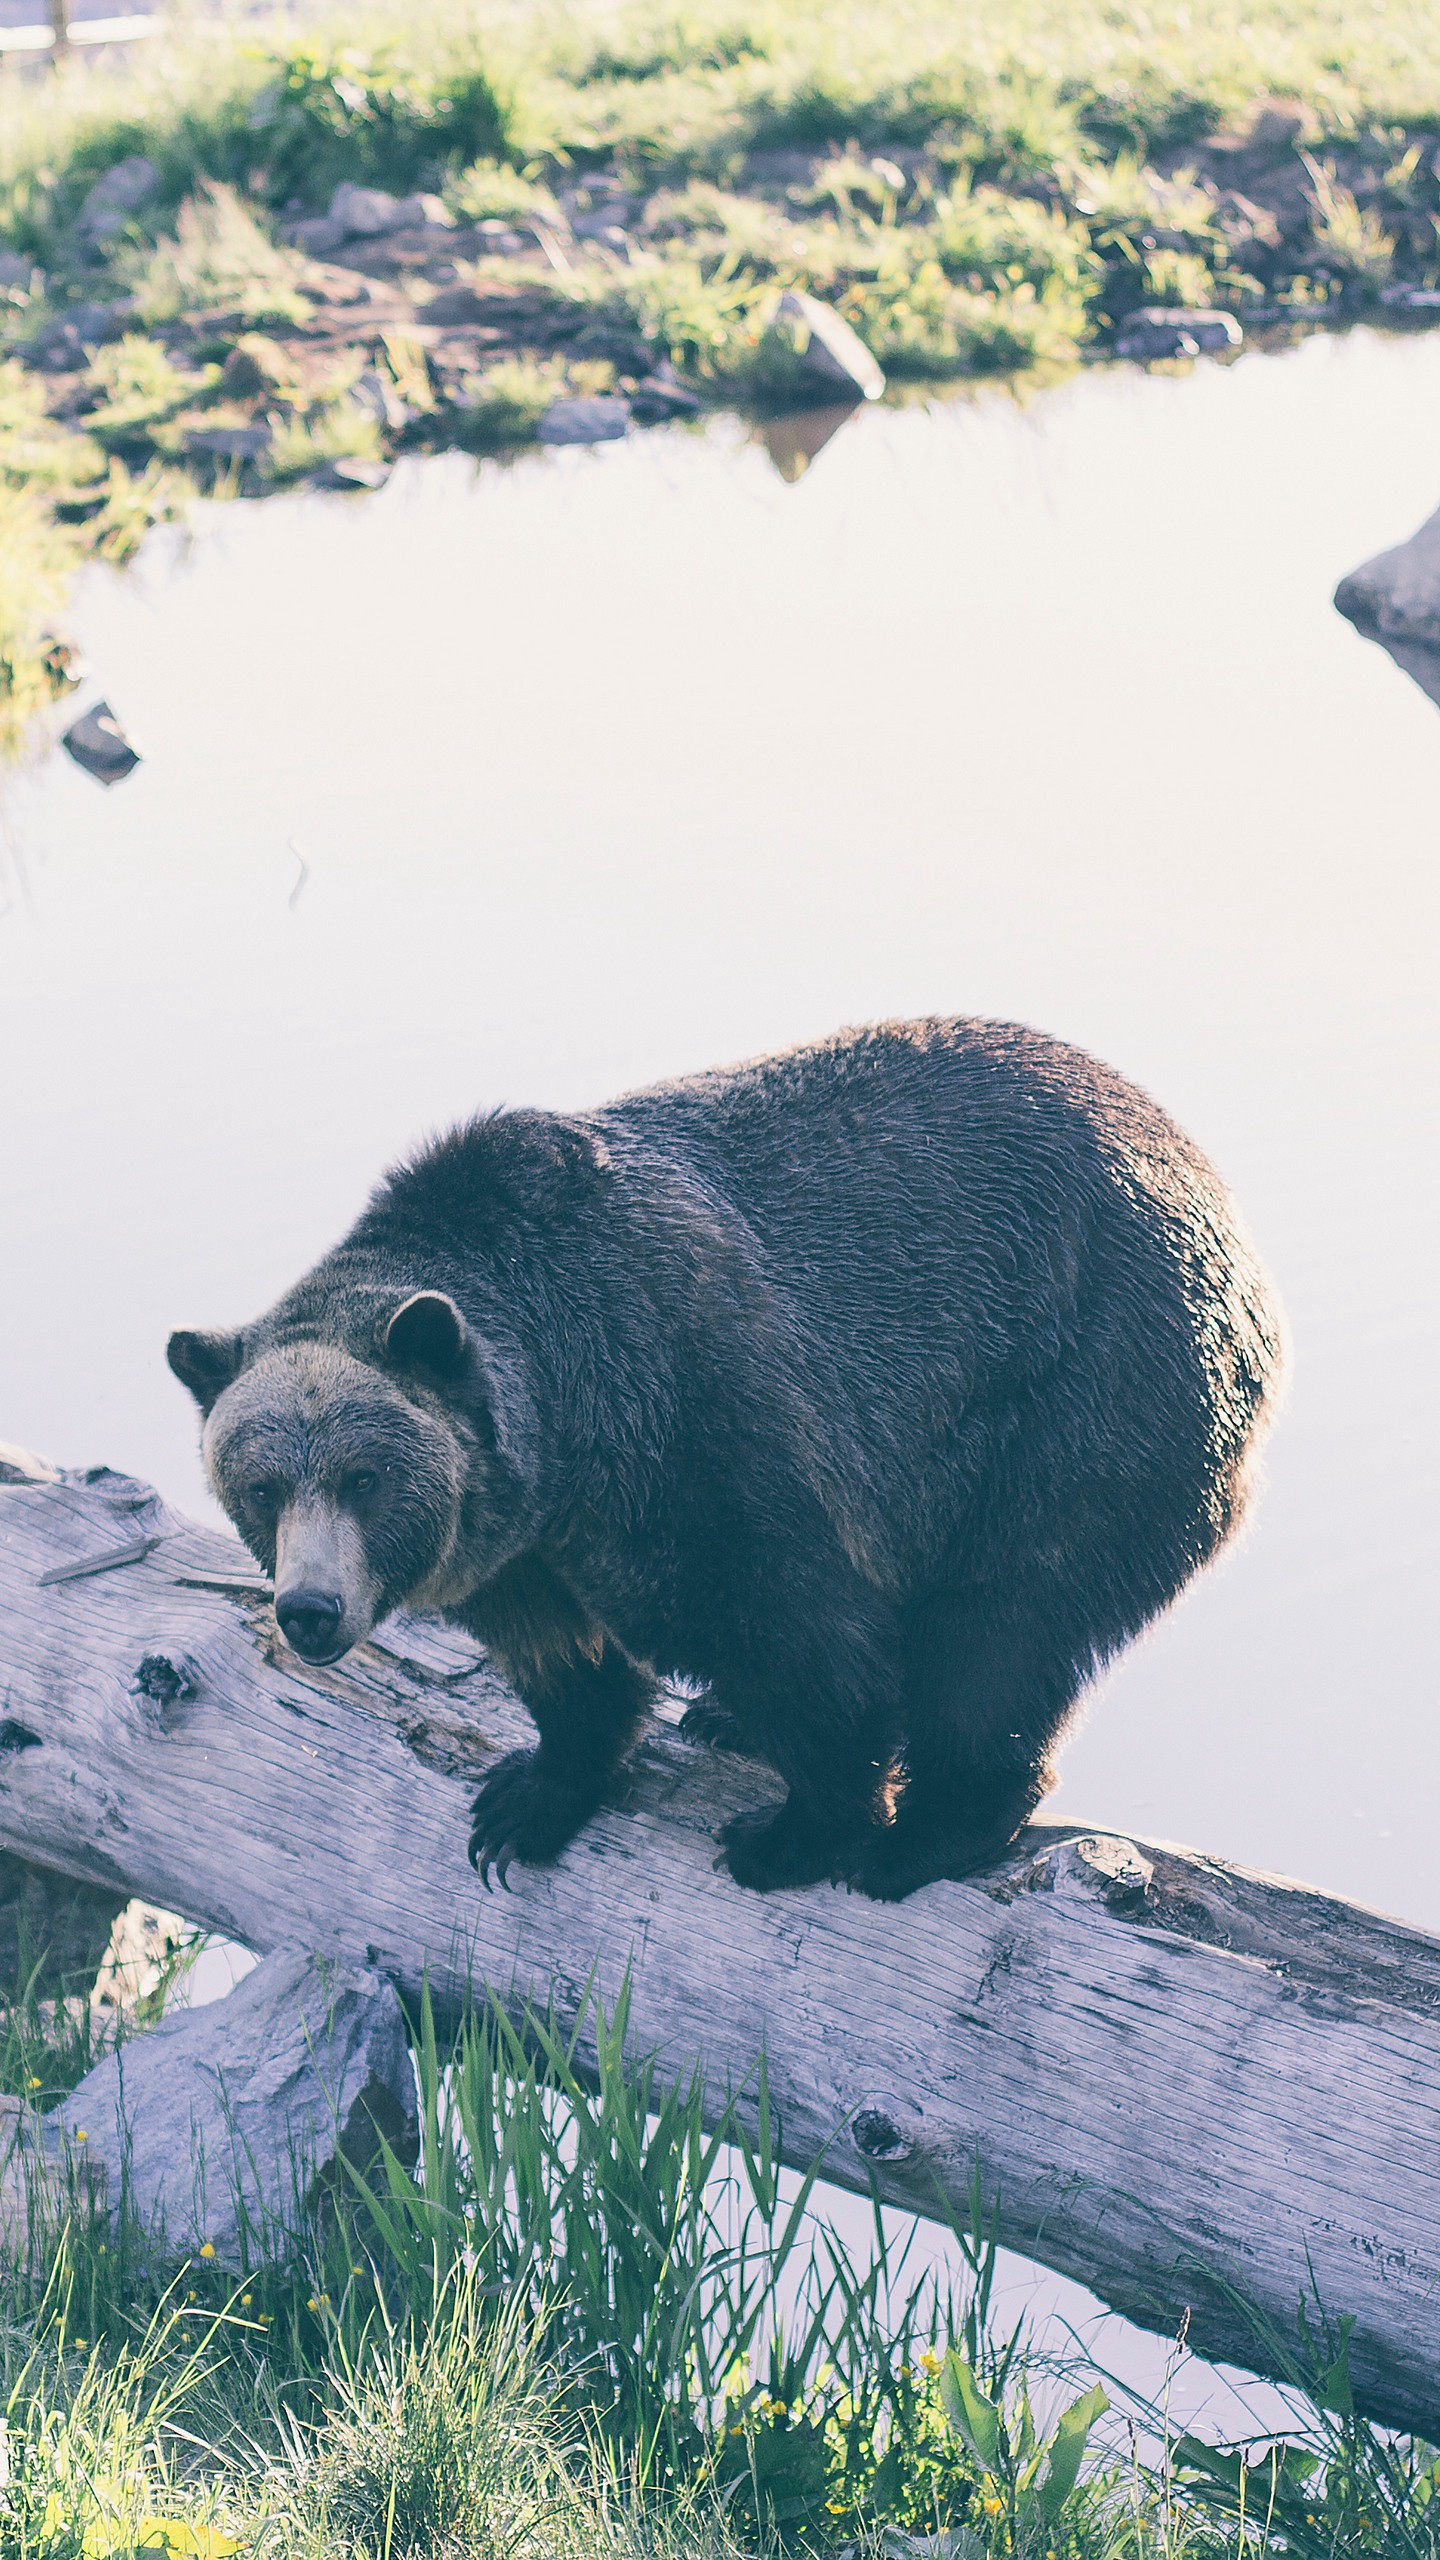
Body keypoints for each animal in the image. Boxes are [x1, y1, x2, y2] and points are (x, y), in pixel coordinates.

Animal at [165, 1018, 1276, 1904]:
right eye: (259, 1486)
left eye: (365, 1478)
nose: (311, 1609)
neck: (565, 1430)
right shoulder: (520, 1541)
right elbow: (562, 1660)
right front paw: (526, 1800)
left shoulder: (689, 1423)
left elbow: (801, 1638)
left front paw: (794, 1834)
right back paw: (726, 1723)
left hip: (1079, 1393)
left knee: (1001, 1624)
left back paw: (929, 1833)